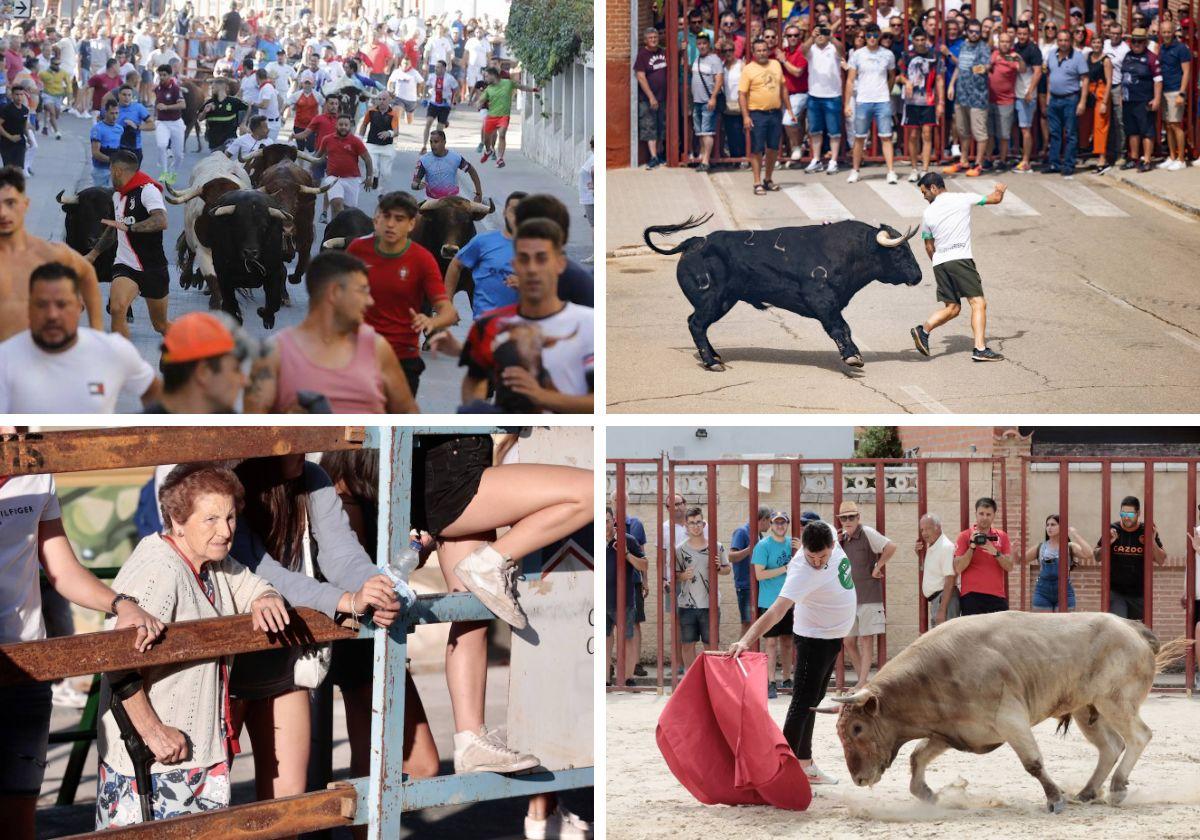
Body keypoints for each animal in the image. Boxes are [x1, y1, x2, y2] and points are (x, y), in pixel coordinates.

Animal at [648, 216, 916, 367]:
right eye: (900, 251)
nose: (918, 275)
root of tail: (694, 242)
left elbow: (843, 327)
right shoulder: (823, 300)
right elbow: (841, 328)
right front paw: (852, 357)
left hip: (723, 301)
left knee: (699, 325)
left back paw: (715, 356)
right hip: (710, 299)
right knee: (696, 324)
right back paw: (711, 362)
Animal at [816, 609, 1190, 816]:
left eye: (857, 729)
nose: (858, 779)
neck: (934, 674)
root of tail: (1132, 628)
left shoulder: (1010, 720)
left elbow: (1033, 763)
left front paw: (1054, 800)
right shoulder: (954, 731)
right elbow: (917, 756)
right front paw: (928, 794)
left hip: (1115, 701)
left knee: (1138, 736)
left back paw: (1117, 788)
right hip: (1088, 709)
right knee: (1111, 746)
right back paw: (1087, 792)